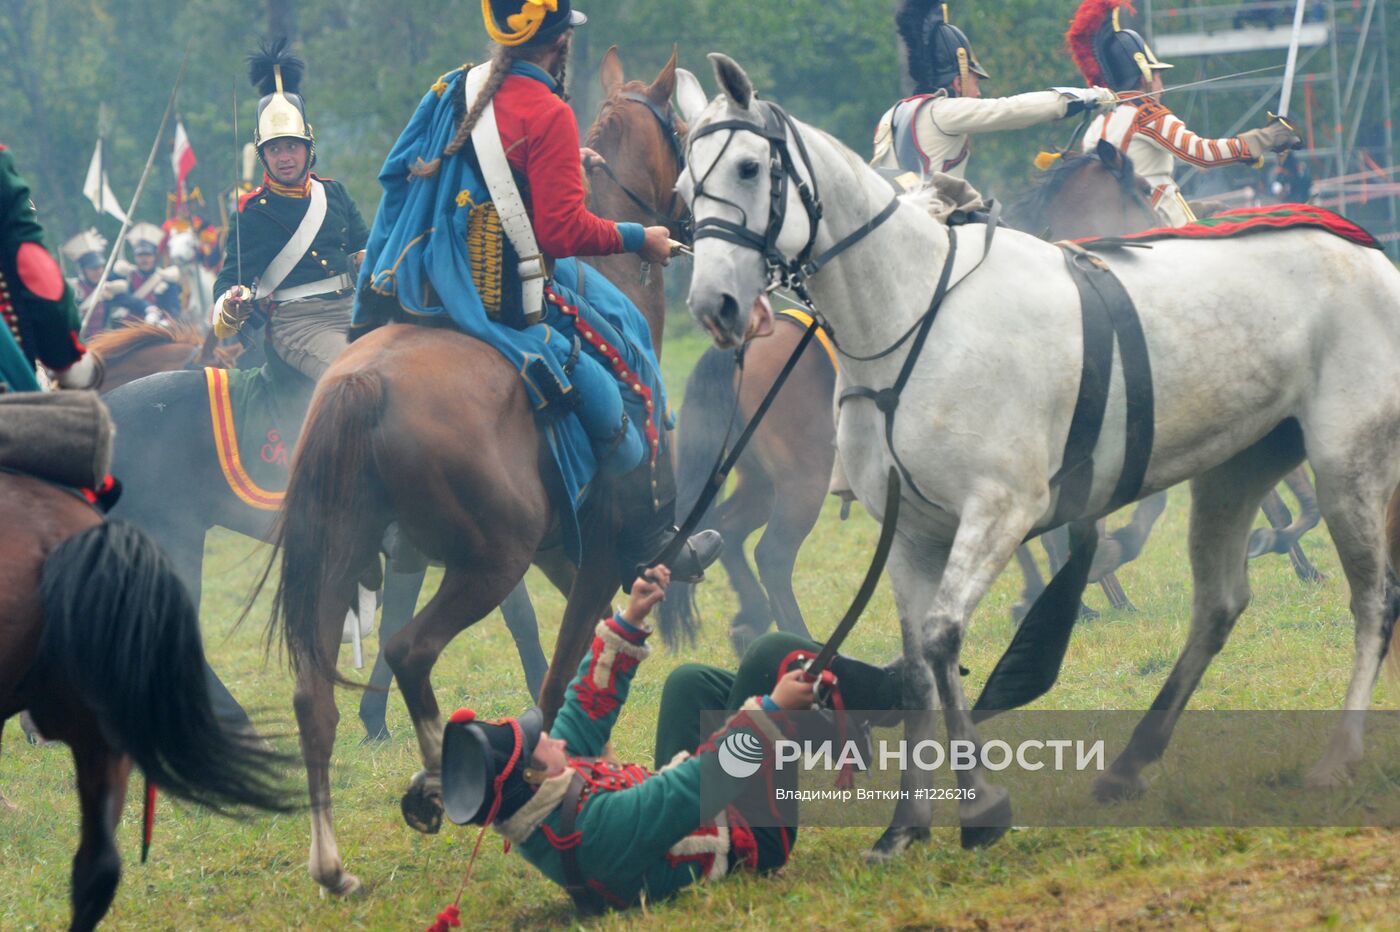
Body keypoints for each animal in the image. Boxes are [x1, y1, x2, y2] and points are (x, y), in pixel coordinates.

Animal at [261, 48, 694, 895]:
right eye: (685, 134)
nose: (686, 222)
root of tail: (360, 384)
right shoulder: (595, 555)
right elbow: (558, 678)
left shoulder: (564, 557)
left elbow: (584, 654)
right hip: (490, 561)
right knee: (408, 651)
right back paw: (443, 774)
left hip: (341, 557)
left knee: (313, 695)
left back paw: (334, 865)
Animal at [672, 54, 1400, 856]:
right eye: (684, 188)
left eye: (748, 166)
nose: (716, 305)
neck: (913, 314)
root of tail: (1364, 251)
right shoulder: (913, 534)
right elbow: (921, 666)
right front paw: (908, 822)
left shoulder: (999, 510)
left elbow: (943, 637)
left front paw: (980, 802)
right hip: (1233, 470)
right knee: (1220, 604)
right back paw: (1131, 761)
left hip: (1345, 461)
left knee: (1372, 597)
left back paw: (1338, 755)